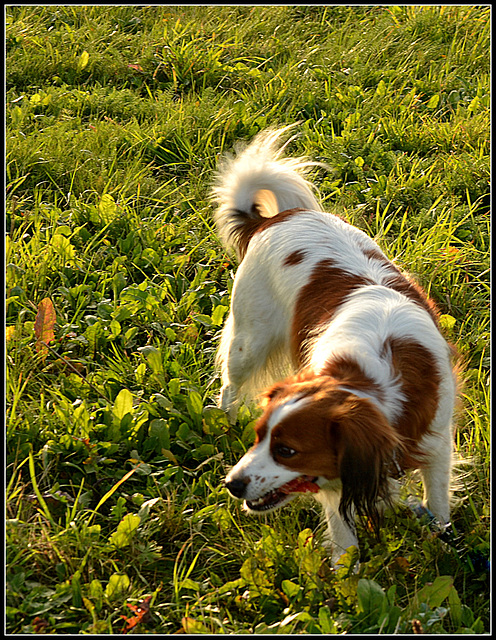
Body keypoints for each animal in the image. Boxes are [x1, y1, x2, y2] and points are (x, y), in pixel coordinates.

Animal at [212, 126, 458, 564]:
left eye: (286, 450)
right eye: (259, 436)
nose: (232, 484)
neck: (375, 377)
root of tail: (275, 218)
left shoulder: (438, 441)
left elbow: (439, 504)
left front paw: (440, 544)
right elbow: (345, 538)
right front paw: (349, 577)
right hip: (248, 340)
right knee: (231, 384)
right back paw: (224, 420)